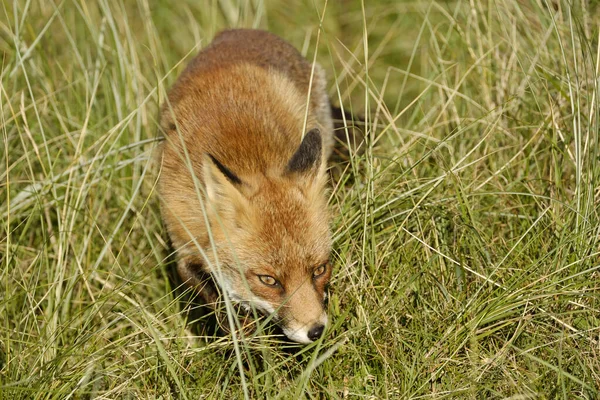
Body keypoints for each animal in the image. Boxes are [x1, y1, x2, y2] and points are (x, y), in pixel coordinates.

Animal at [159, 28, 336, 344]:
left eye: (319, 269)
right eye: (268, 280)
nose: (316, 331)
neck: (248, 157)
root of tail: (236, 31)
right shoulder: (185, 240)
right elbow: (220, 306)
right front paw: (244, 346)